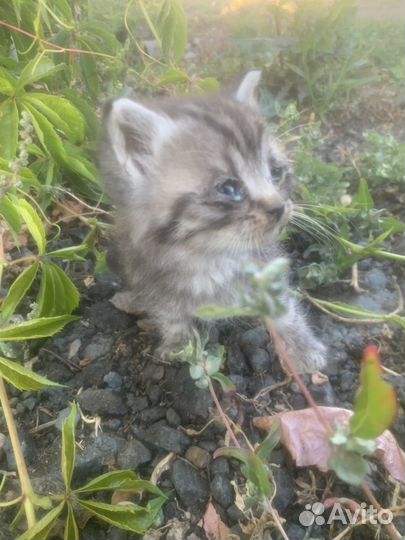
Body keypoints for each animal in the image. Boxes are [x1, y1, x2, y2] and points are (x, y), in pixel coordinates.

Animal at [99, 71, 326, 374]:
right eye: (229, 188)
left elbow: (283, 307)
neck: (209, 255)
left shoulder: (265, 265)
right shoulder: (151, 272)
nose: (279, 207)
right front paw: (179, 343)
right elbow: (170, 312)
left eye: (276, 172)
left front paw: (302, 346)